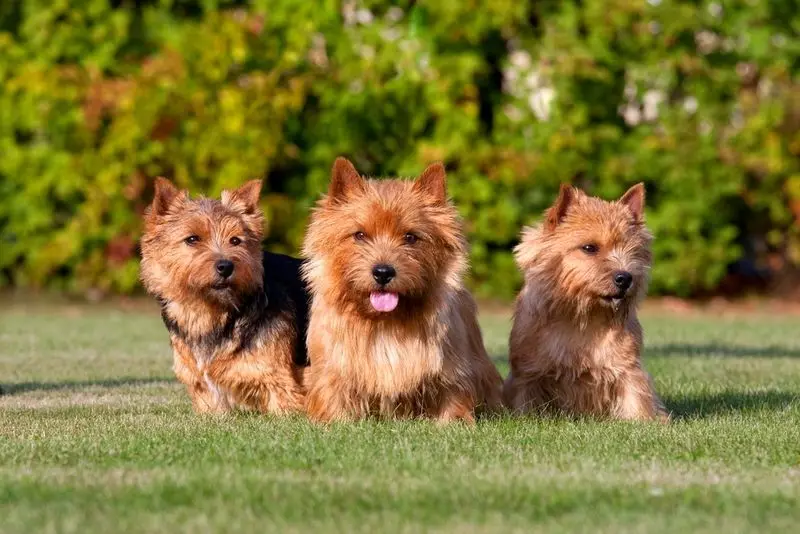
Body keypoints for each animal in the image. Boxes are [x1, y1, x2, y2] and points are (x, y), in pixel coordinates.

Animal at [141, 178, 310, 416]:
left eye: (235, 240)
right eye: (192, 239)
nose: (226, 266)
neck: (211, 313)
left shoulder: (281, 381)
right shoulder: (204, 389)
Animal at [300, 157, 500, 426]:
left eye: (410, 237)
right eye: (359, 234)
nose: (383, 272)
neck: (385, 321)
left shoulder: (454, 370)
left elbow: (453, 396)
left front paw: (453, 422)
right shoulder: (330, 369)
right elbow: (332, 395)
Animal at [506, 184, 668, 422]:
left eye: (633, 250)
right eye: (589, 247)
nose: (625, 278)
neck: (582, 317)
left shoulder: (628, 368)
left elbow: (636, 398)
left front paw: (643, 421)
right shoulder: (527, 373)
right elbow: (524, 402)